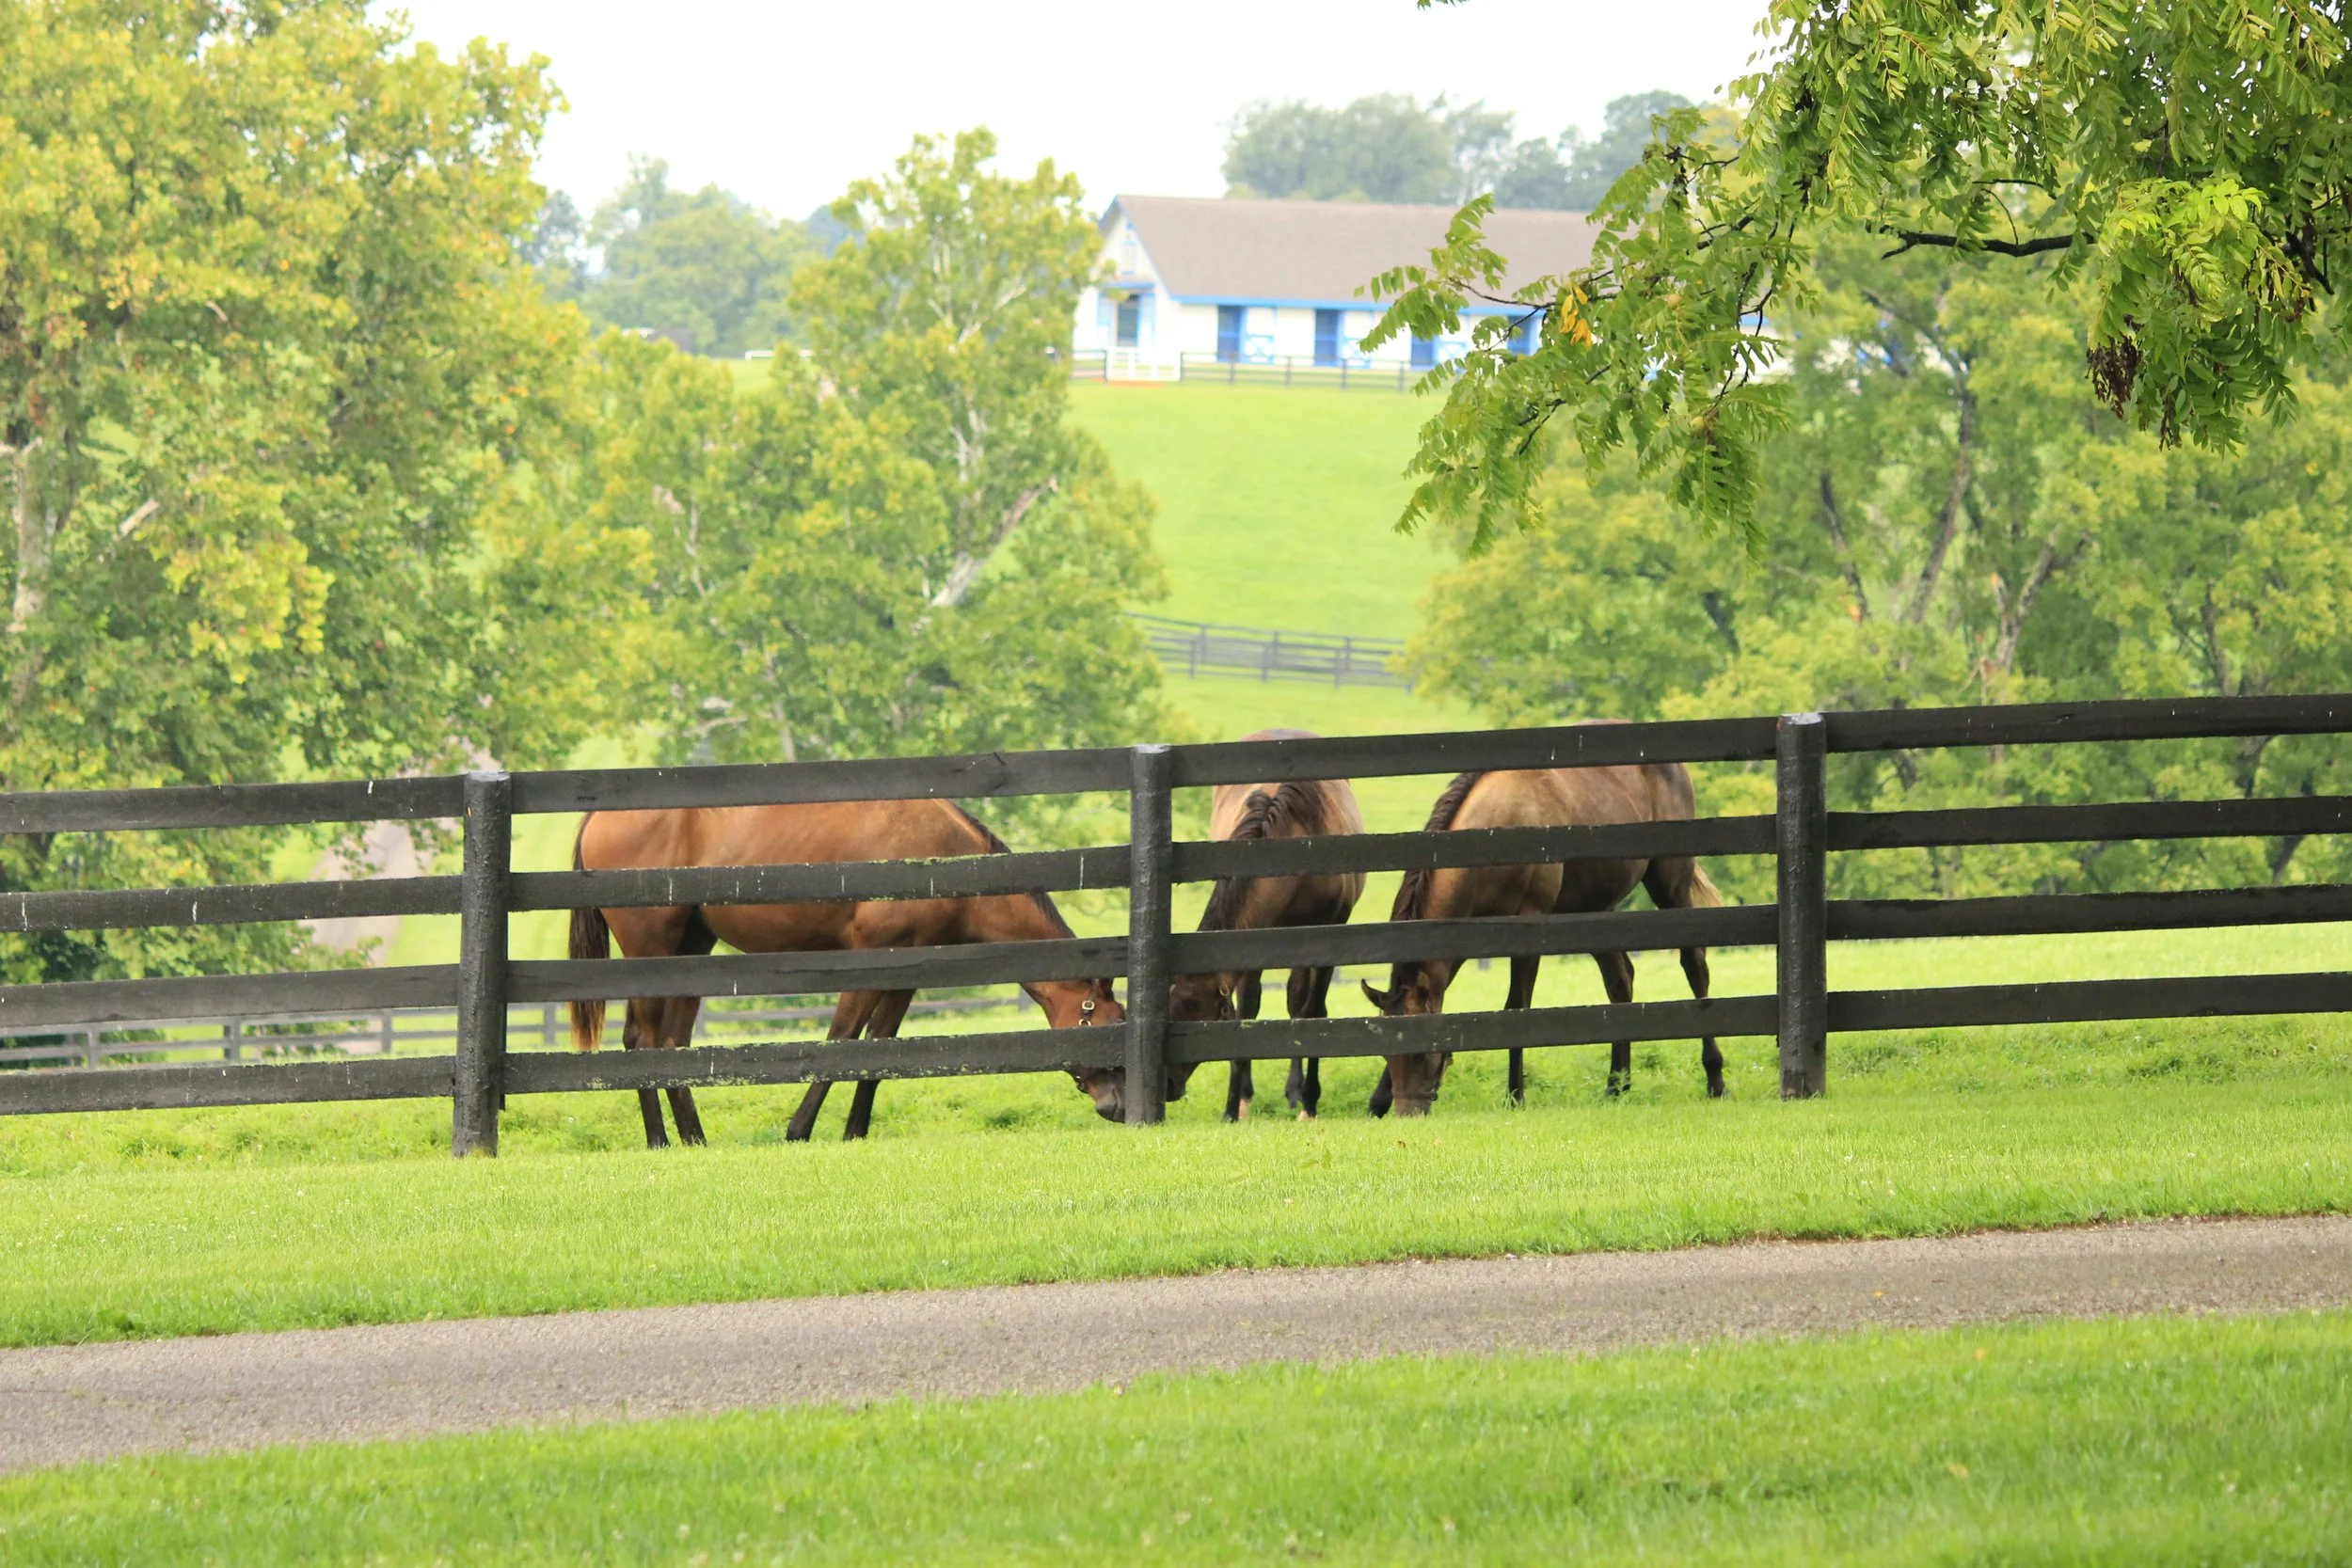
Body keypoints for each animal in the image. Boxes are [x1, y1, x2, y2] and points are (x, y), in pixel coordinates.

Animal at [568, 799, 1126, 1146]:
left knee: (672, 1044)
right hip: (651, 948)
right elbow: (842, 1040)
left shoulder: (906, 973)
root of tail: (597, 817)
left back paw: (694, 1139)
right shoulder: (868, 960)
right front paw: (798, 1131)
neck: (941, 855)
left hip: (690, 949)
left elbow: (878, 1048)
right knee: (642, 1041)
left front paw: (854, 1132)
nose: (1120, 1106)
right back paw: (660, 1140)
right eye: (1110, 1025)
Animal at [1165, 731, 1365, 1120]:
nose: (1167, 1085)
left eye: (1194, 1007)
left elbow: (1312, 1011)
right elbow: (1247, 1012)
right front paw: (1235, 1106)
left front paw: (1310, 1102)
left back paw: (1297, 1092)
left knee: (1300, 1003)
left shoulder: (1328, 935)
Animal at [1360, 757, 1724, 1116]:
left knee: (1694, 966)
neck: (1494, 834)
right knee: (1621, 981)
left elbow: (1517, 1007)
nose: (1408, 1113)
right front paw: (1377, 1101)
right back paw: (1616, 1086)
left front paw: (1515, 1097)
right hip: (1595, 907)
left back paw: (1715, 1079)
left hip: (1670, 883)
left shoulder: (1528, 928)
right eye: (1386, 1054)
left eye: (1421, 1055)